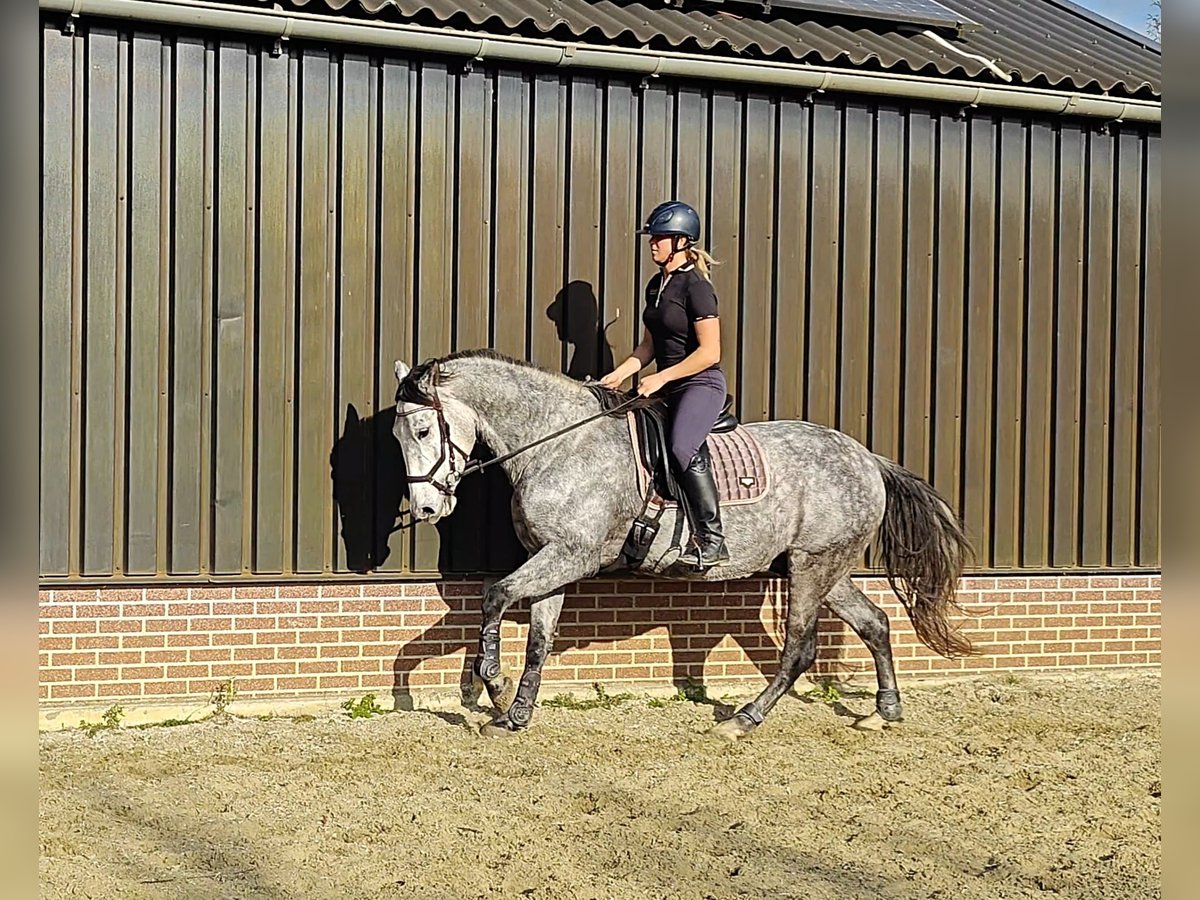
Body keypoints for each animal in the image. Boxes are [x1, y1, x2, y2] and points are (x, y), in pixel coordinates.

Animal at [391, 349, 976, 740]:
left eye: (422, 431)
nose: (425, 510)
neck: (557, 441)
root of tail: (867, 458)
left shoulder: (572, 555)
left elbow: (494, 596)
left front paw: (485, 682)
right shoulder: (551, 556)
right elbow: (537, 637)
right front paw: (513, 713)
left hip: (813, 568)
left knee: (800, 648)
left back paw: (742, 720)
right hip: (825, 567)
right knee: (875, 623)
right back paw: (884, 710)